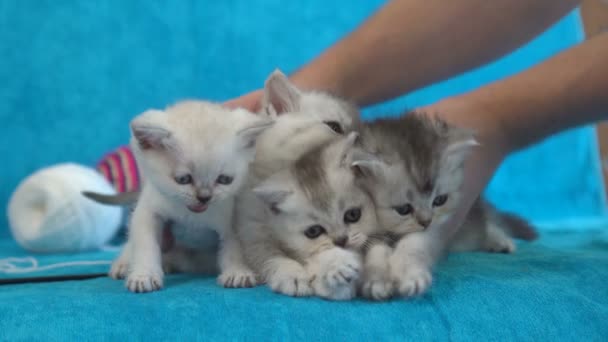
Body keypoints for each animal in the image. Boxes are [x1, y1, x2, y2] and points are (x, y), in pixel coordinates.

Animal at [117, 100, 274, 292]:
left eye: (224, 180)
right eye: (183, 179)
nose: (204, 197)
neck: (192, 218)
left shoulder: (234, 216)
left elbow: (234, 246)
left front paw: (238, 272)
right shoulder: (148, 211)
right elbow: (145, 243)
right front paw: (144, 275)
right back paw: (124, 264)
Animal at [236, 132, 376, 300]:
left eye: (353, 215)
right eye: (313, 231)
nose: (341, 241)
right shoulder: (253, 229)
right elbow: (271, 256)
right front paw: (294, 276)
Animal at [352, 112, 536, 300]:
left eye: (440, 200)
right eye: (403, 209)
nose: (426, 221)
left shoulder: (440, 227)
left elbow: (415, 244)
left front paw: (410, 275)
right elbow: (375, 251)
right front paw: (376, 279)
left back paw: (501, 241)